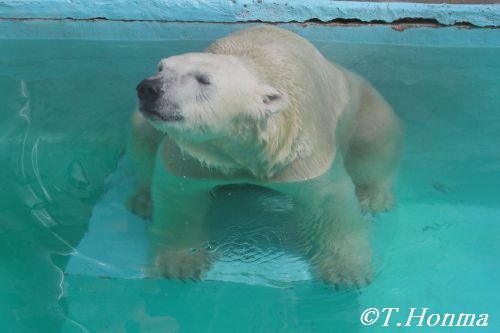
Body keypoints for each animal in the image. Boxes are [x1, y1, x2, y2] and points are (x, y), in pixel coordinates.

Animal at [127, 25, 404, 286]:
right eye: (161, 67)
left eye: (203, 79)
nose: (149, 88)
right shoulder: (194, 157)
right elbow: (179, 196)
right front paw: (180, 262)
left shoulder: (305, 153)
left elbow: (329, 199)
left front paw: (345, 272)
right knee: (143, 135)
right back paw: (144, 200)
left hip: (363, 103)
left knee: (374, 140)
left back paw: (373, 196)